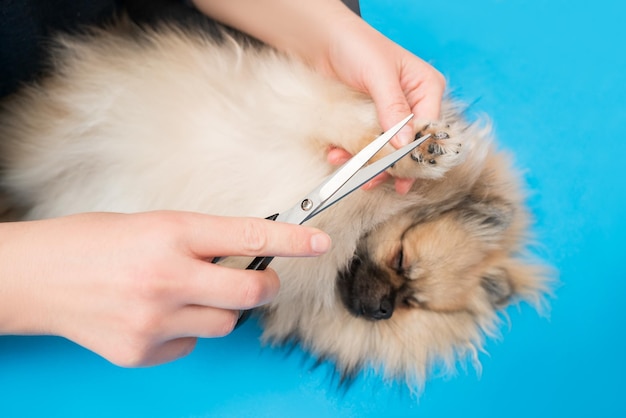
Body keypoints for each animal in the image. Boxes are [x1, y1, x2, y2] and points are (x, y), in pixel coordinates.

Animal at [0, 9, 544, 388]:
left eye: (411, 303)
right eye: (401, 259)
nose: (379, 312)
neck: (347, 230)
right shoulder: (314, 117)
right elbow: (367, 134)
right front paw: (422, 148)